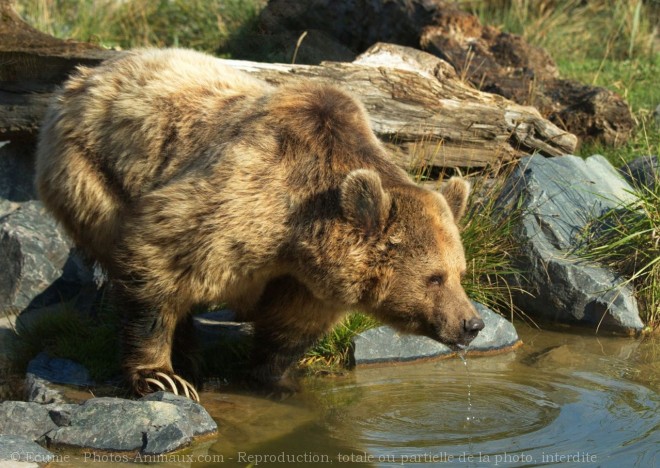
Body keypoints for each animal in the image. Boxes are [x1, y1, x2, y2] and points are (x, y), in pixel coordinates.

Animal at [34, 46, 484, 398]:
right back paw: (186, 358)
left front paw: (276, 377)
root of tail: (84, 76)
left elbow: (291, 323)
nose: (472, 323)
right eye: (434, 277)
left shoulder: (305, 277)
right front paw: (160, 376)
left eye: (460, 272)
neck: (298, 240)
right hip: (90, 171)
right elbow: (158, 257)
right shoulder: (240, 201)